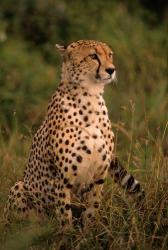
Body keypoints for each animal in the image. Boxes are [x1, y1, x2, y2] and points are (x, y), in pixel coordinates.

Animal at [3, 39, 143, 227]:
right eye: (93, 56)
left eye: (110, 55)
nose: (111, 70)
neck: (90, 98)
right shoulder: (62, 180)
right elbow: (64, 215)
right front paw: (67, 233)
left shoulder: (98, 177)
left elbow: (92, 209)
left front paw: (89, 231)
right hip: (19, 187)